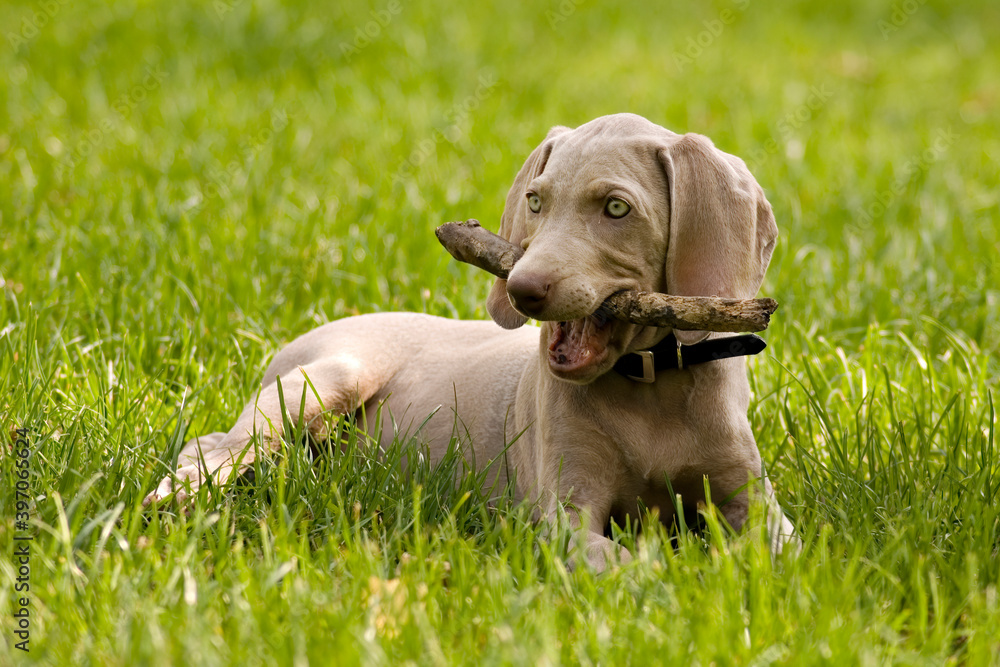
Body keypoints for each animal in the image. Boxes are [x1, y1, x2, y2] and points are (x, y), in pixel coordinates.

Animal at [146, 115, 796, 568]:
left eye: (617, 208)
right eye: (535, 201)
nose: (523, 289)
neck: (650, 383)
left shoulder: (756, 502)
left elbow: (778, 549)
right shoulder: (565, 516)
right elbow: (628, 561)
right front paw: (680, 574)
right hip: (326, 379)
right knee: (214, 445)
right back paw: (172, 499)